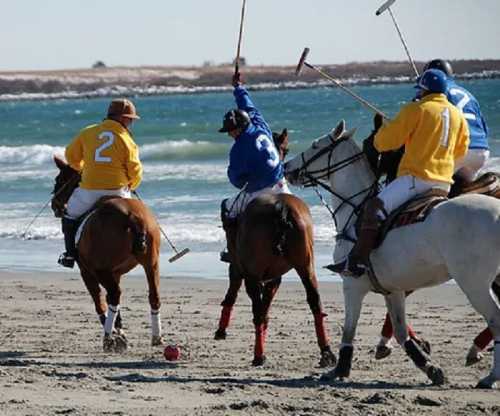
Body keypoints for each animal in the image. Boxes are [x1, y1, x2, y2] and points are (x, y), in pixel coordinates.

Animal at [52, 156, 163, 352]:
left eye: (59, 180)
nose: (54, 204)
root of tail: (132, 216)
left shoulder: (87, 272)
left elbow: (99, 301)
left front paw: (116, 335)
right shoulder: (115, 272)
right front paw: (119, 331)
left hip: (101, 270)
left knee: (113, 295)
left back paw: (108, 338)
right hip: (152, 263)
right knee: (152, 295)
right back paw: (156, 337)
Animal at [286, 121, 500, 390]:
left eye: (316, 145)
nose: (287, 167)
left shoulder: (352, 285)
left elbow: (349, 330)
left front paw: (339, 370)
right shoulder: (393, 290)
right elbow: (400, 332)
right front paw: (430, 368)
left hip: (474, 283)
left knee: (495, 319)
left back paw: (490, 375)